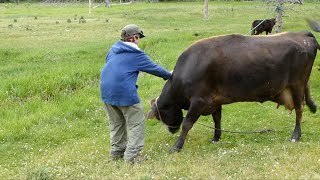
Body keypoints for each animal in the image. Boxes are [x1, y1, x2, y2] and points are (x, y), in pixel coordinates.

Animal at [149, 31, 318, 153]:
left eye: (160, 115)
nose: (171, 130)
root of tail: (303, 33)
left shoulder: (198, 101)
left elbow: (187, 124)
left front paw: (177, 146)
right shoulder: (214, 101)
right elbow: (217, 119)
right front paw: (216, 138)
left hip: (297, 85)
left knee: (299, 109)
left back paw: (295, 135)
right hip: (301, 84)